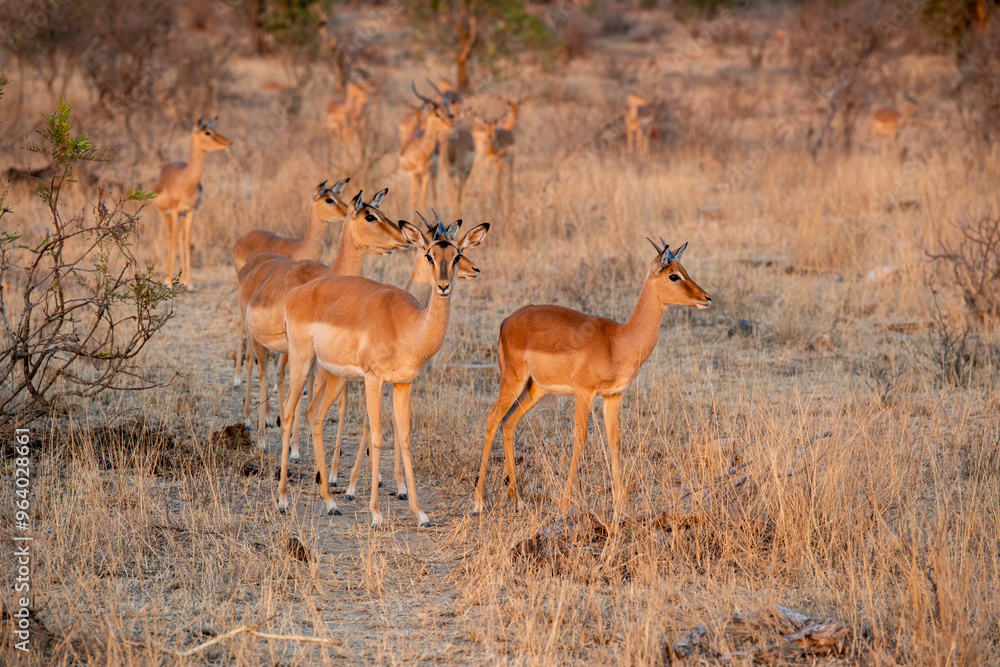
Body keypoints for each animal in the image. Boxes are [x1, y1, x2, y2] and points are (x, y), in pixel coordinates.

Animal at [153, 117, 233, 289]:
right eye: (208, 132)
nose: (230, 143)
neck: (185, 181)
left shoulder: (191, 211)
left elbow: (187, 242)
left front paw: (189, 282)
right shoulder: (174, 211)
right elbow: (174, 242)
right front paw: (170, 283)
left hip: (183, 215)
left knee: (181, 237)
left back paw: (182, 279)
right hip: (166, 214)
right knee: (170, 237)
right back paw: (167, 279)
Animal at [231, 179, 350, 387]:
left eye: (339, 196)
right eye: (329, 199)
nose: (346, 212)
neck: (301, 248)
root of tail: (242, 238)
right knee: (240, 324)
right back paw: (237, 378)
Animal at [239, 189, 408, 452]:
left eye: (381, 210)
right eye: (370, 216)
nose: (403, 238)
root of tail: (252, 268)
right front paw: (295, 450)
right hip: (259, 340)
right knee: (259, 371)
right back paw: (260, 435)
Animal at [277, 216, 490, 525]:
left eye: (457, 255)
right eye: (429, 255)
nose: (443, 286)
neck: (408, 326)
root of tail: (295, 293)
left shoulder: (403, 383)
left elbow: (404, 437)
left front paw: (420, 513)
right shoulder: (373, 379)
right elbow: (377, 436)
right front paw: (376, 513)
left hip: (335, 376)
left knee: (314, 414)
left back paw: (330, 502)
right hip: (302, 361)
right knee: (288, 411)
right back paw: (283, 500)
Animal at [472, 239, 711, 516]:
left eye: (684, 270)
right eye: (674, 275)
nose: (706, 298)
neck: (618, 342)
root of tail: (506, 321)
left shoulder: (613, 396)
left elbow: (615, 441)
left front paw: (620, 504)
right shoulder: (584, 392)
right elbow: (580, 439)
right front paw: (565, 503)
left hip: (535, 390)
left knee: (508, 423)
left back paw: (517, 499)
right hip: (513, 381)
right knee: (492, 419)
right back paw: (478, 502)